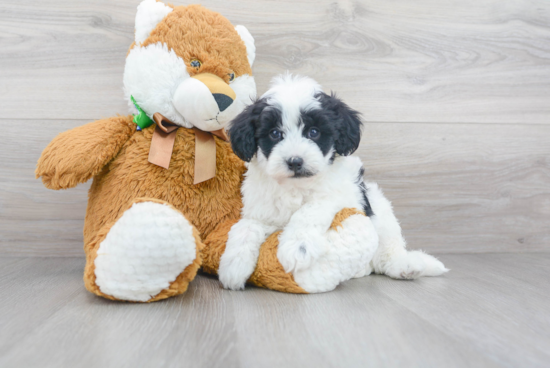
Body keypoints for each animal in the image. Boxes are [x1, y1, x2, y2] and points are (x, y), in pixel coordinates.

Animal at [217, 75, 448, 294]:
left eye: (313, 132)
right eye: (275, 134)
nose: (295, 161)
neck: (296, 187)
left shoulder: (343, 194)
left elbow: (311, 208)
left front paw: (298, 247)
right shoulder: (262, 211)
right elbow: (245, 226)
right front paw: (233, 265)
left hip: (380, 210)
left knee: (386, 249)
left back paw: (404, 265)